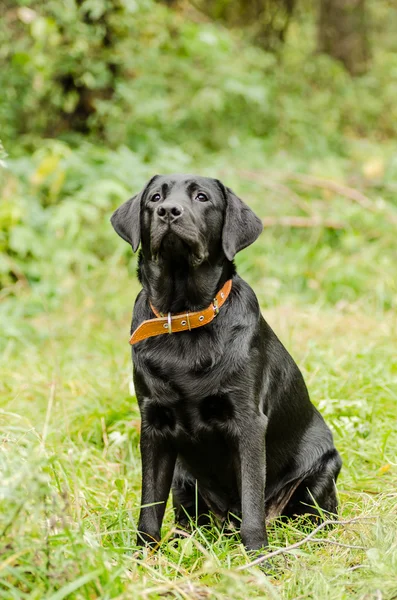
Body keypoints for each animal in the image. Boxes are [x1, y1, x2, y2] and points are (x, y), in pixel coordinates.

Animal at [110, 171, 340, 552]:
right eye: (155, 198)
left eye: (202, 197)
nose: (168, 211)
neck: (184, 316)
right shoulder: (153, 425)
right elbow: (149, 507)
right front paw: (143, 556)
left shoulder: (247, 423)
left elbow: (251, 502)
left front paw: (258, 556)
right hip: (183, 478)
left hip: (322, 471)